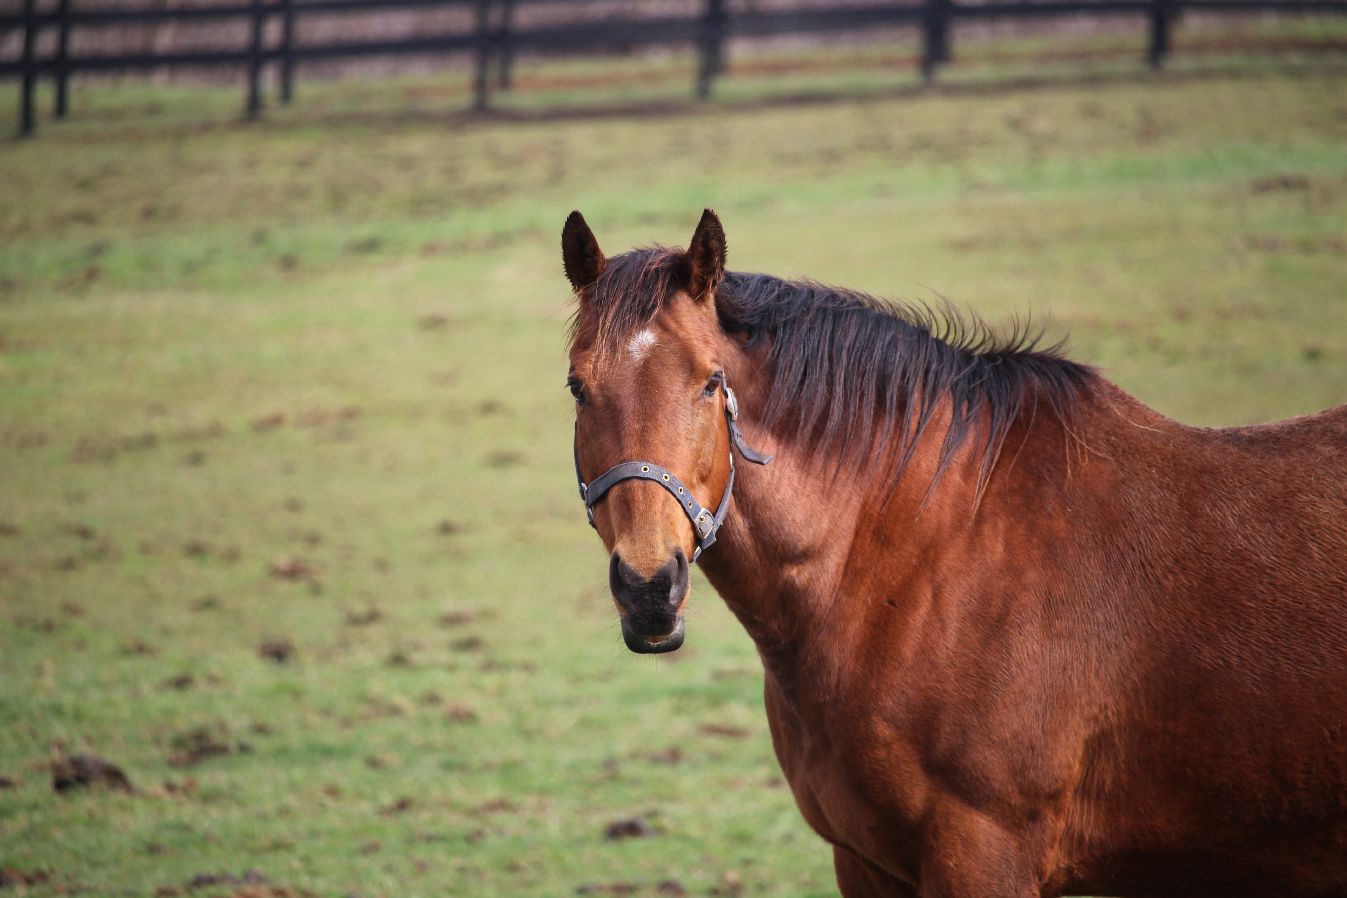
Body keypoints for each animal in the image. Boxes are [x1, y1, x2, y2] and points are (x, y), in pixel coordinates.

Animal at [557, 207, 1347, 893]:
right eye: (577, 387)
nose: (648, 588)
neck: (922, 557)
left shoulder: (982, 858)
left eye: (711, 382)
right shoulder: (865, 865)